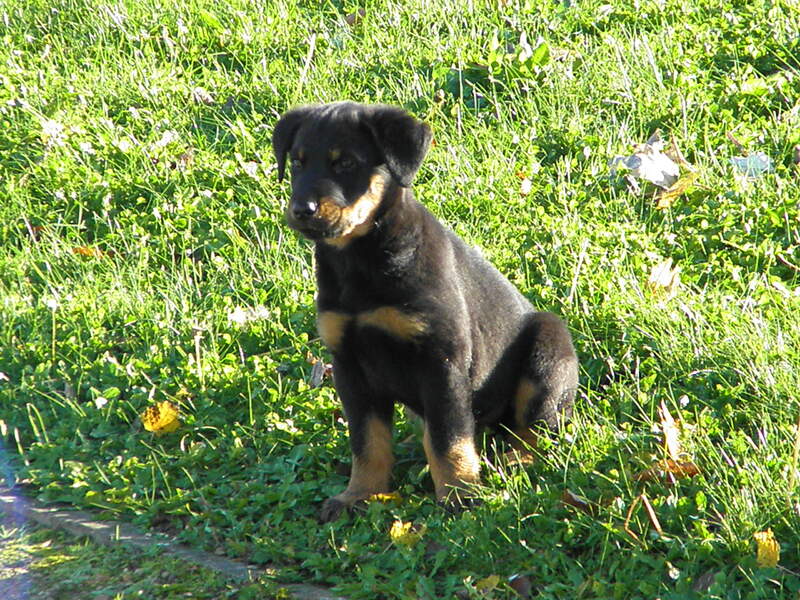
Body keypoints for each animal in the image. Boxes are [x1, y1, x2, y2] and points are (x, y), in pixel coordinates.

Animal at [272, 102, 580, 520]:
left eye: (346, 163)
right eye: (297, 163)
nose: (301, 209)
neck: (361, 259)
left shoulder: (441, 359)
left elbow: (448, 437)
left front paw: (459, 494)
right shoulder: (349, 364)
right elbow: (367, 441)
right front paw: (360, 494)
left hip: (548, 352)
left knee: (537, 427)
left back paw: (516, 460)